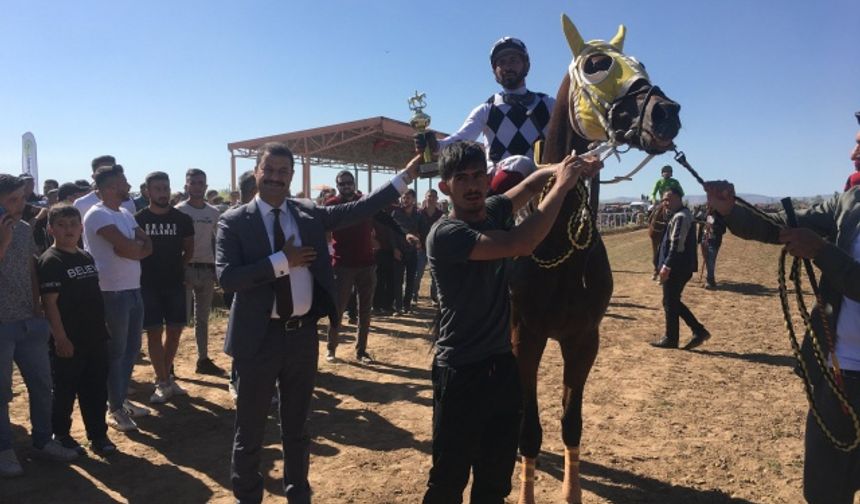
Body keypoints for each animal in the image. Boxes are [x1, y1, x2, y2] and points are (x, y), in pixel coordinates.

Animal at [508, 12, 680, 504]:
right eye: (597, 65)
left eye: (641, 62)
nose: (665, 112)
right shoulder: (526, 336)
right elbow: (530, 428)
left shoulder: (583, 339)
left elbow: (571, 423)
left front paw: (572, 493)